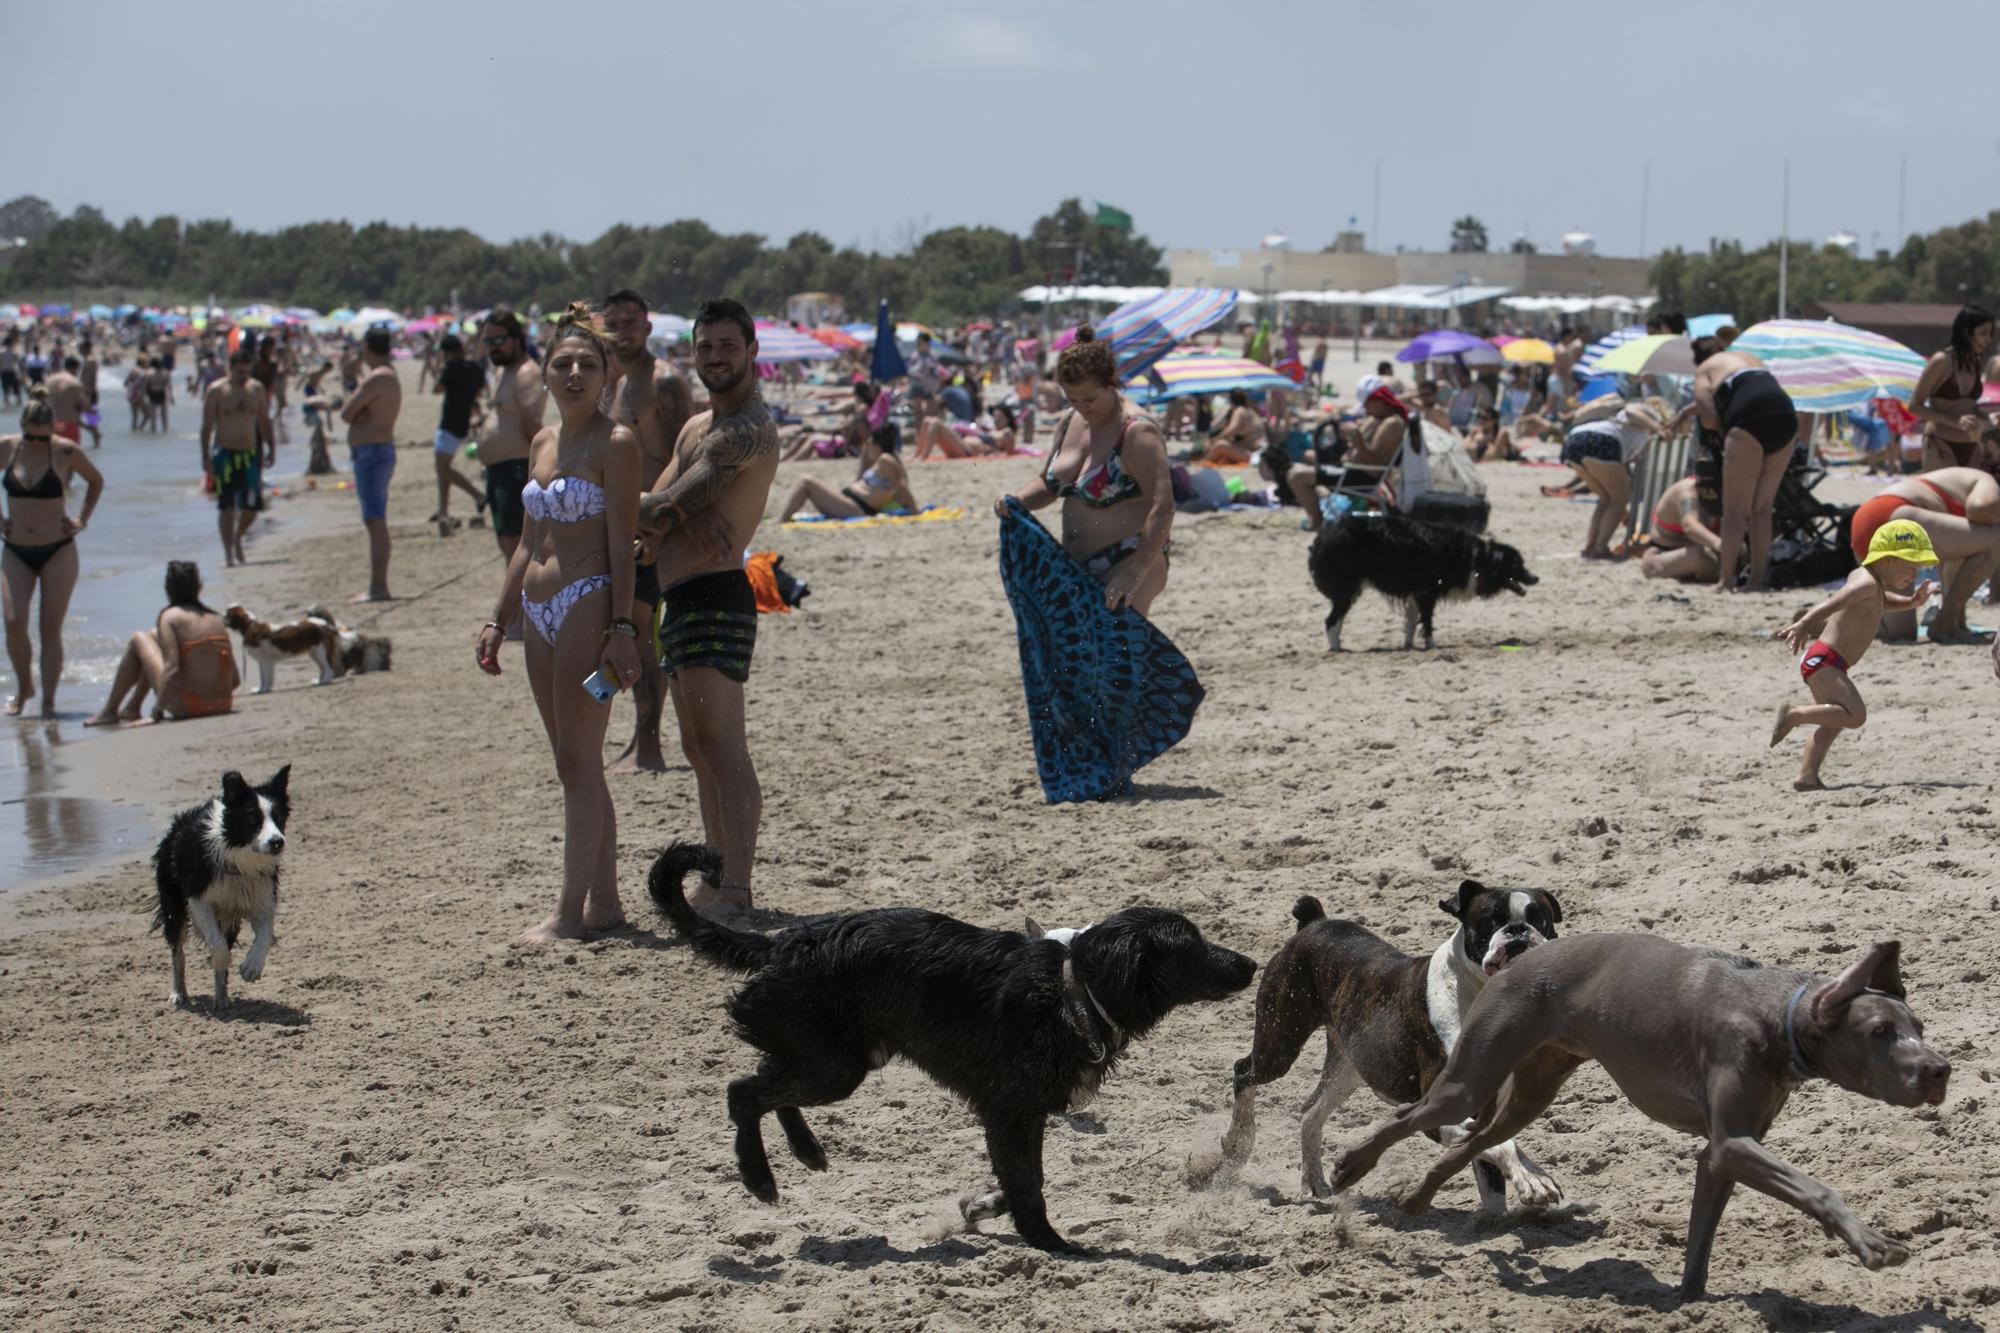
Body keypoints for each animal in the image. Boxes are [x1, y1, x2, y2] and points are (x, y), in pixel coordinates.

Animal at [648, 840, 1256, 1248]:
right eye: (1190, 945)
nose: (1251, 964)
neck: (1072, 989)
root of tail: (779, 944)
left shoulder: (1019, 1115)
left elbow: (1019, 1179)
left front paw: (984, 1206)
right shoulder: (1009, 1111)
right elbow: (1028, 1184)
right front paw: (1052, 1244)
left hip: (832, 1060)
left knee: (767, 1084)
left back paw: (807, 1150)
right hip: (834, 1065)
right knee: (742, 1092)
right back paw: (759, 1176)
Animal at [1184, 876, 1560, 1208]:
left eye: (1539, 918)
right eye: (1490, 919)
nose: (1518, 929)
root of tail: (1314, 922)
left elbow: (1494, 1154)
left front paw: (1522, 1191)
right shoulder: (1436, 1112)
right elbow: (1499, 1146)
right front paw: (1532, 1183)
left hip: (1348, 1066)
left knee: (1310, 1112)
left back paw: (1314, 1182)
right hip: (1280, 1042)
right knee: (1244, 1072)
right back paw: (1238, 1142)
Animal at [1304, 508, 1536, 648]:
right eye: (1517, 565)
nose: (1535, 578)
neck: (1477, 559)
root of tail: (1321, 537)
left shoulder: (1415, 594)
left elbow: (1412, 622)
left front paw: (1409, 644)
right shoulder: (1426, 592)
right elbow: (1427, 622)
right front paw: (1431, 645)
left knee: (1337, 620)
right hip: (1347, 588)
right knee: (1331, 620)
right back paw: (1336, 648)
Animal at [1328, 928, 1952, 1288]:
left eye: (1919, 1027)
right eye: (1879, 1031)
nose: (1940, 1070)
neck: (1775, 1014)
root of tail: (1523, 958)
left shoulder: (1721, 1155)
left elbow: (1701, 1241)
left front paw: (1691, 1301)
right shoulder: (1734, 1143)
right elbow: (1819, 1189)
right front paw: (1873, 1245)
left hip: (1530, 1091)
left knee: (1472, 1140)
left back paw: (1417, 1197)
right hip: (1472, 1075)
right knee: (1409, 1118)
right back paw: (1351, 1167)